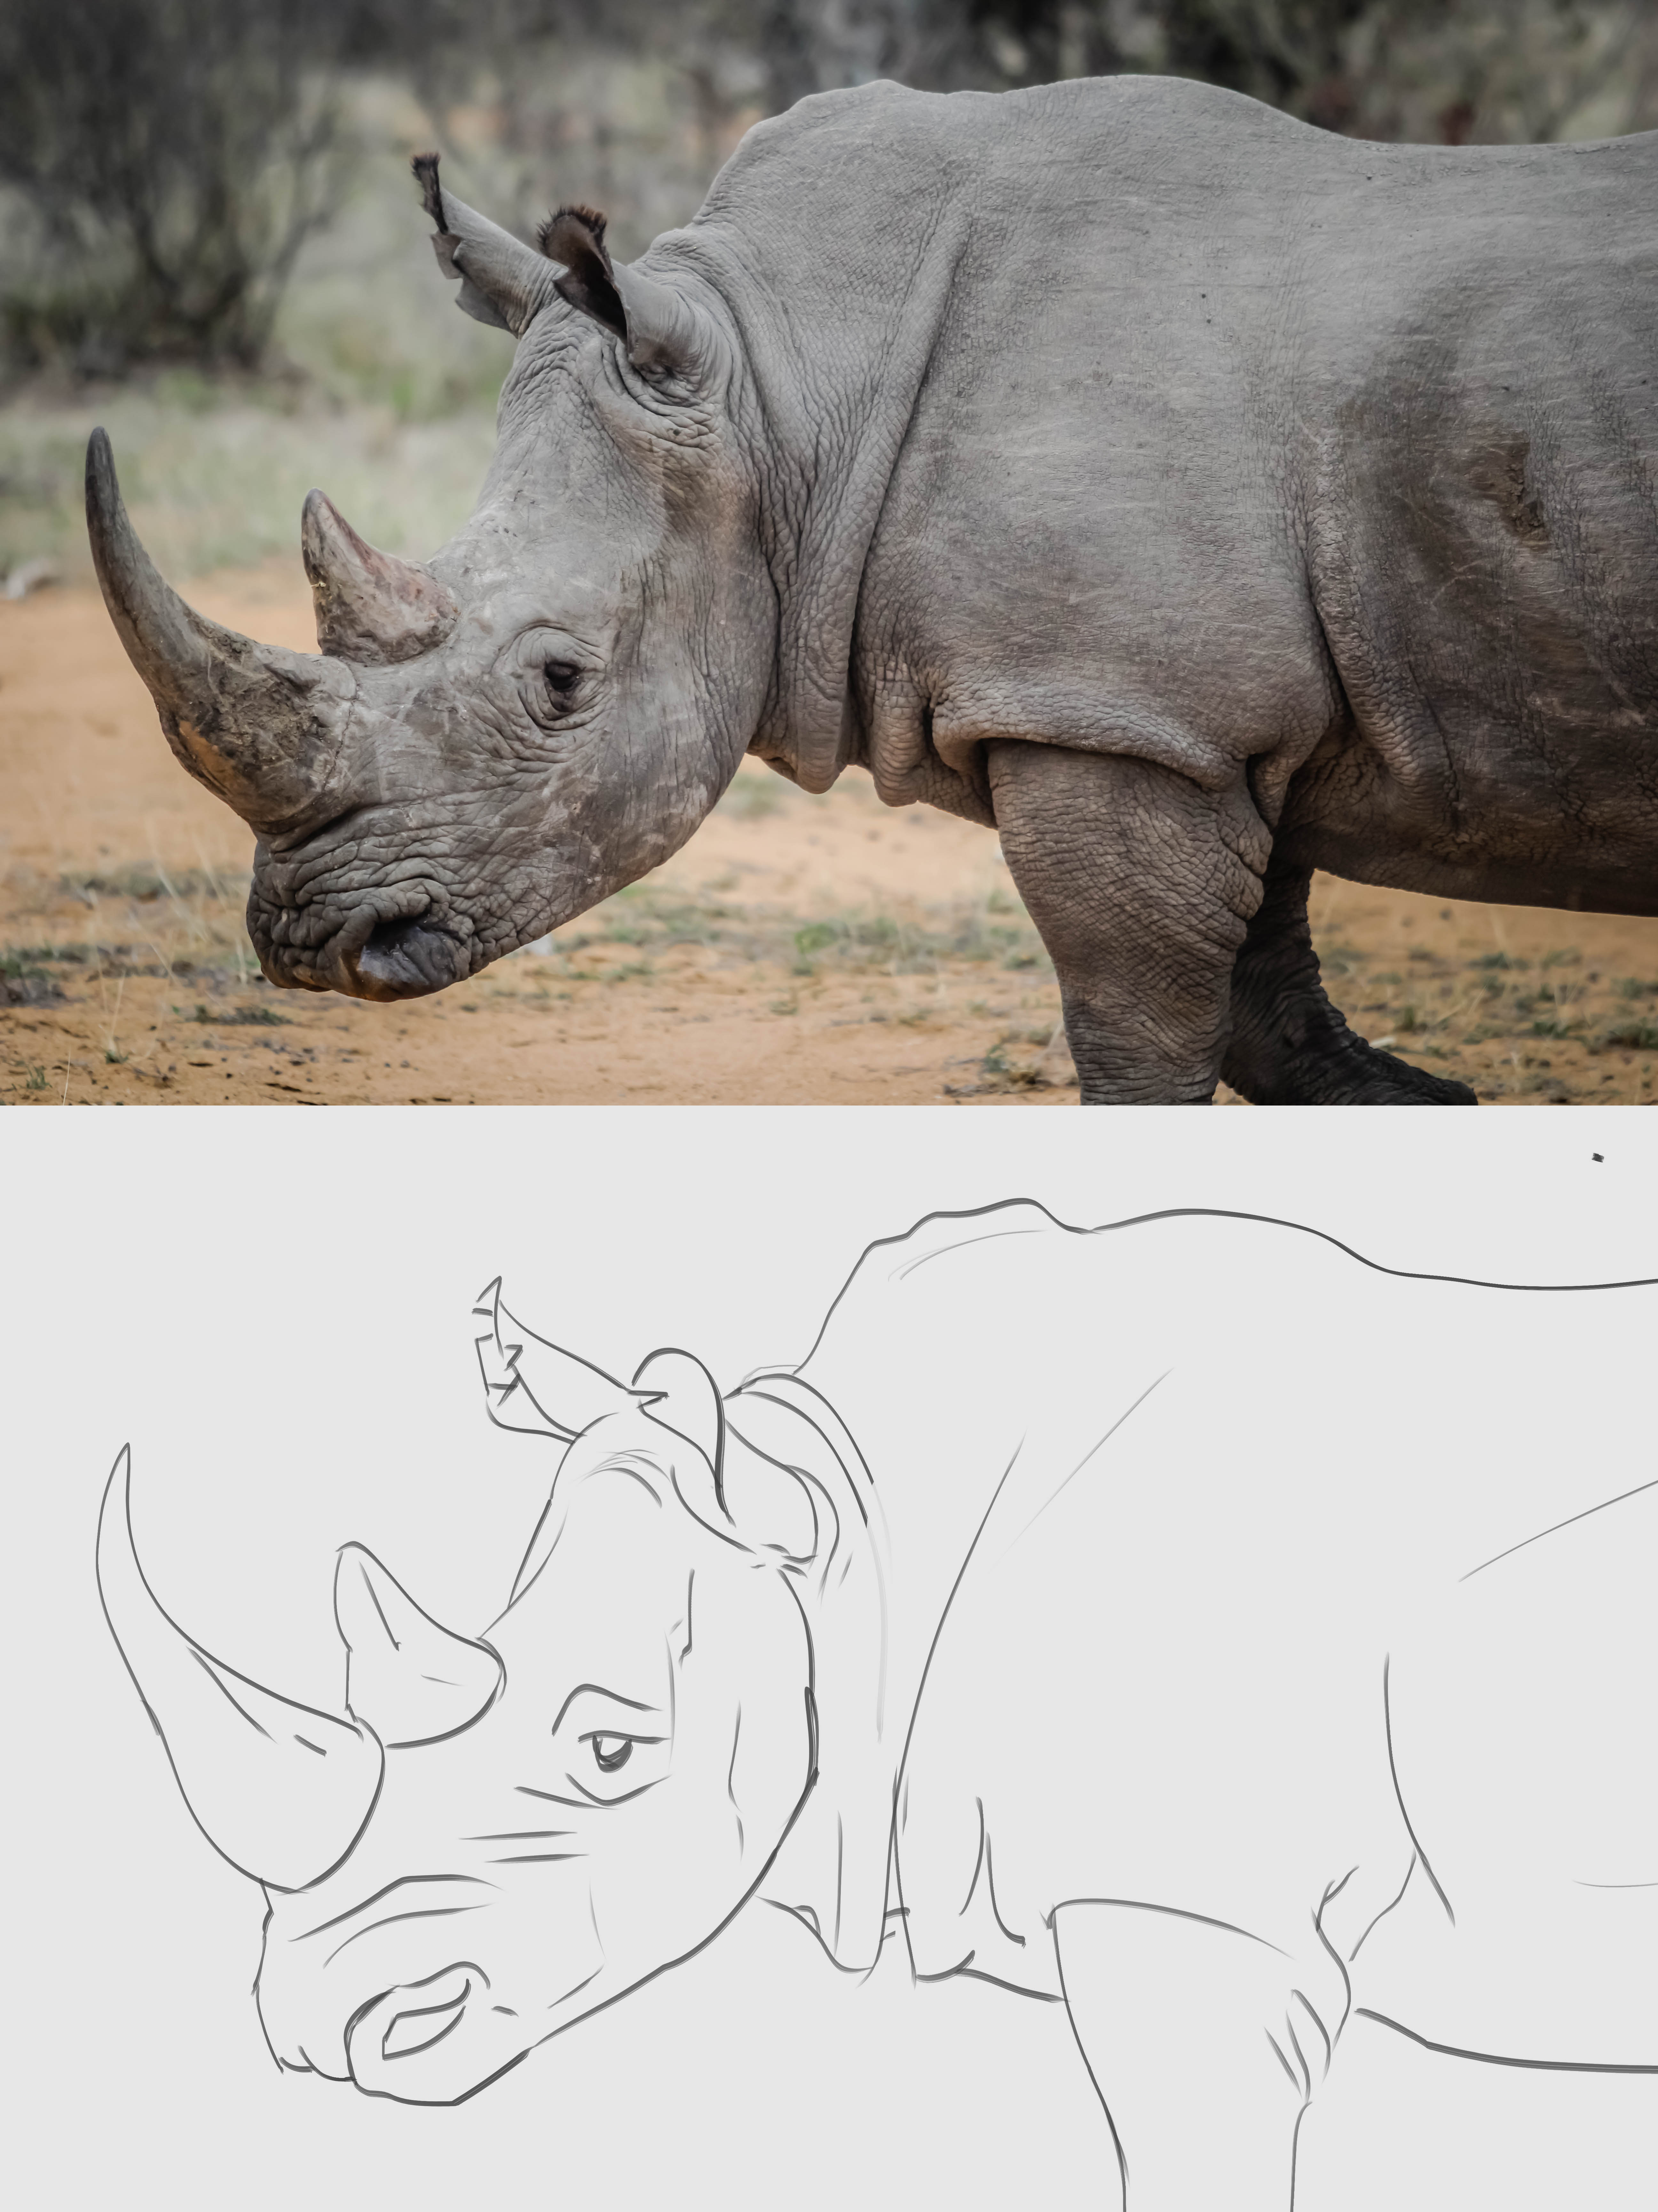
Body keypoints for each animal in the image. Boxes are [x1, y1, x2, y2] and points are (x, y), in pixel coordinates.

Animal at [83, 76, 1658, 1105]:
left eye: (559, 681)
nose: (313, 945)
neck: (781, 385)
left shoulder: (1109, 710)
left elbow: (1142, 1026)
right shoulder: (1193, 710)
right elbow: (1265, 991)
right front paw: (1418, 1106)